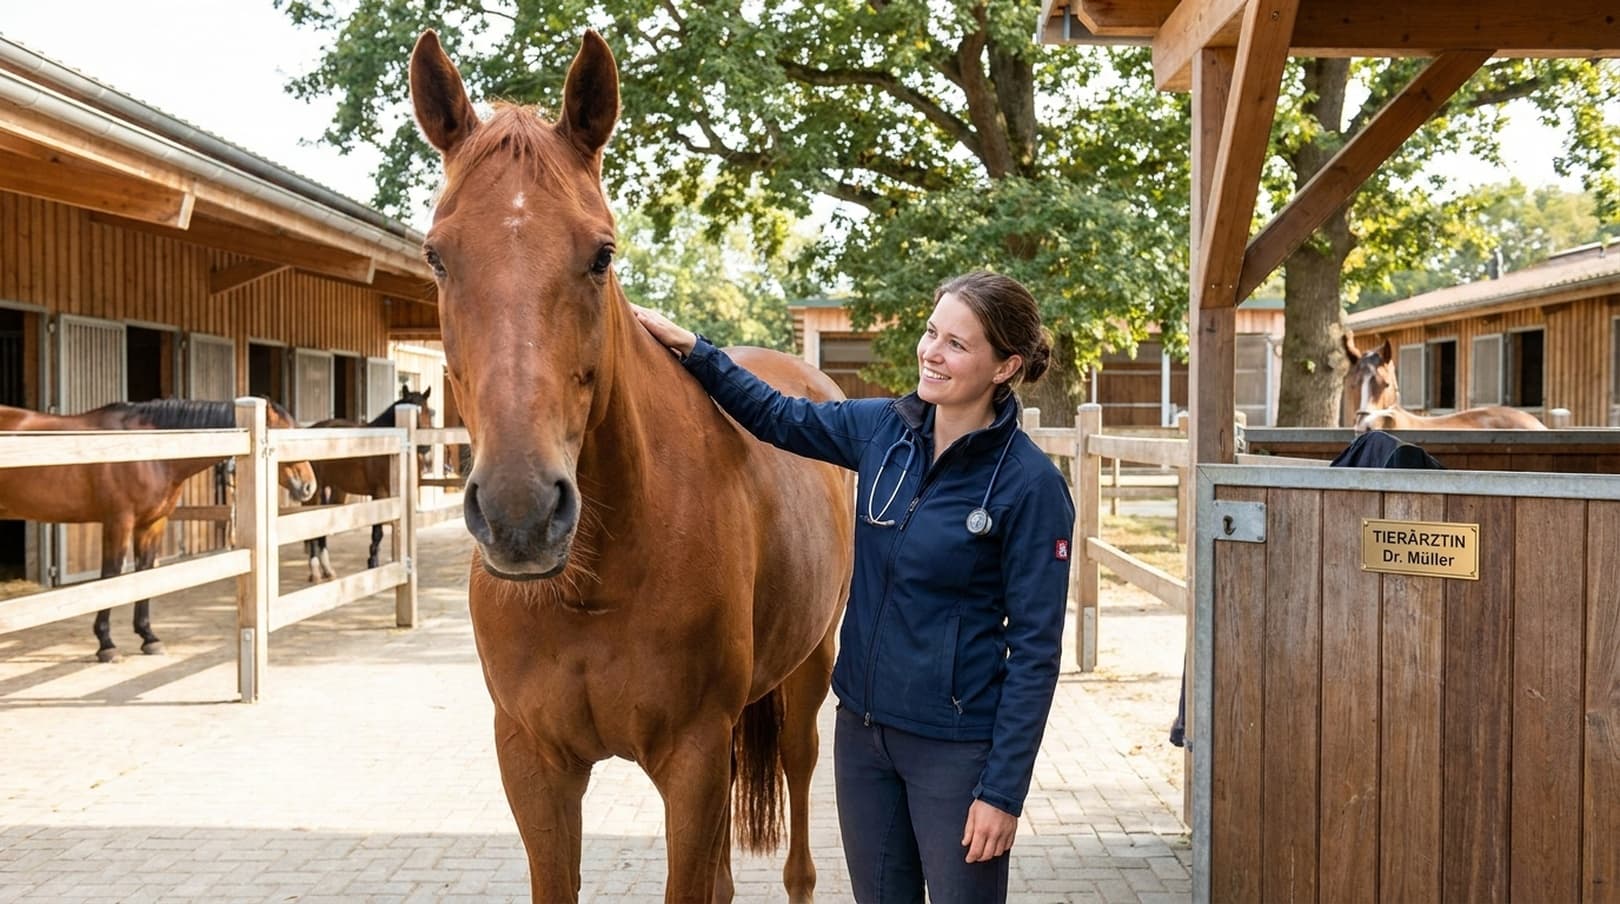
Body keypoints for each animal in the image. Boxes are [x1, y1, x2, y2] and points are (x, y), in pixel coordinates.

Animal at [0, 398, 317, 661]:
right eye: (285, 438)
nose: (308, 486)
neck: (151, 450)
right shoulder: (119, 522)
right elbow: (111, 576)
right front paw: (106, 644)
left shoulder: (152, 524)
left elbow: (146, 574)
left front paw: (148, 638)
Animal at [302, 388, 434, 582]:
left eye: (427, 411)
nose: (425, 448)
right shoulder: (379, 493)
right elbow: (377, 532)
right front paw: (373, 562)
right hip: (315, 491)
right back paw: (315, 571)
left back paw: (328, 569)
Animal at [409, 29, 854, 903]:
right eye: (438, 257)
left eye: (601, 254)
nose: (519, 514)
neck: (594, 582)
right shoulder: (534, 764)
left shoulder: (693, 760)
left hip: (805, 682)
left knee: (799, 830)